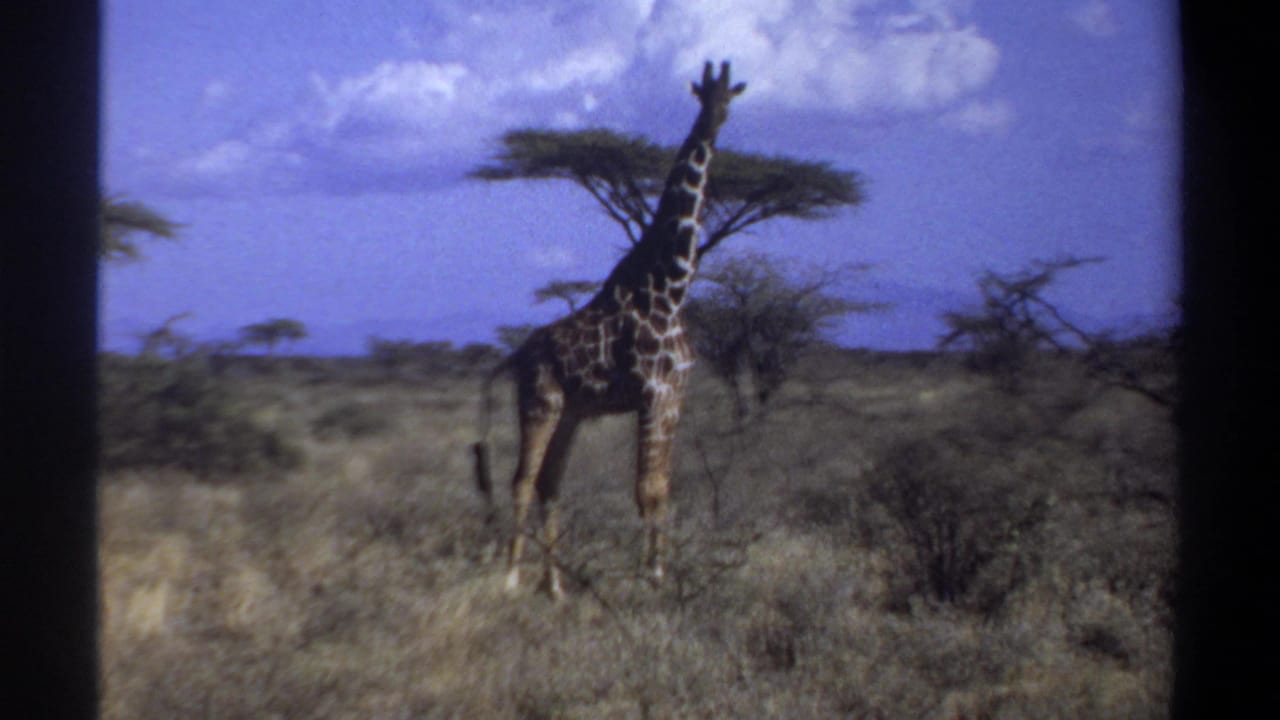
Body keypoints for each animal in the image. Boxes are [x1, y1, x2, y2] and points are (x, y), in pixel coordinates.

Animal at [474, 61, 746, 596]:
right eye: (704, 96)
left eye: (730, 98)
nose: (713, 124)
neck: (671, 284)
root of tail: (516, 355)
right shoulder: (653, 391)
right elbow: (645, 488)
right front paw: (650, 575)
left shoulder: (675, 393)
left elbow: (663, 488)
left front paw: (662, 571)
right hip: (540, 401)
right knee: (522, 479)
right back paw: (513, 577)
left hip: (573, 412)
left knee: (549, 482)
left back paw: (556, 586)